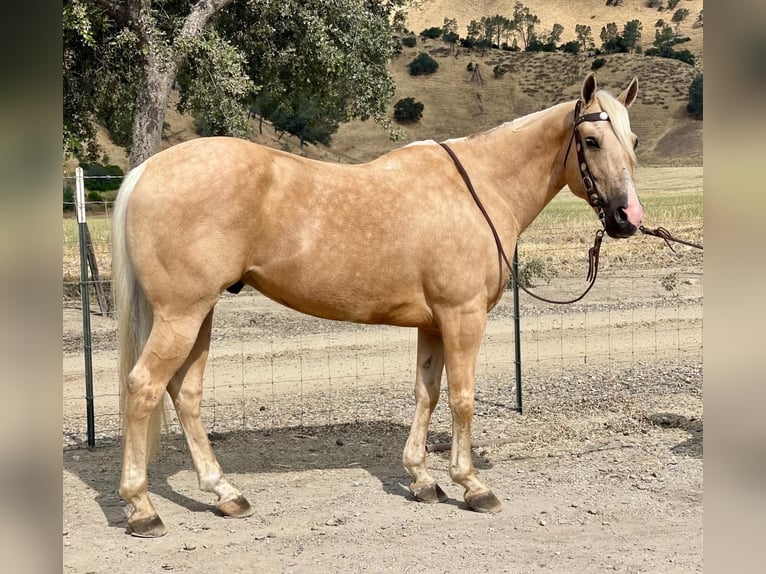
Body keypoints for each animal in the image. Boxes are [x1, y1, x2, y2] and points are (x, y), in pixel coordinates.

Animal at [111, 74, 644, 536]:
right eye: (592, 141)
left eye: (633, 141)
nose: (627, 218)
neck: (478, 188)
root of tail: (146, 171)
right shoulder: (463, 316)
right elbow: (462, 398)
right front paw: (471, 485)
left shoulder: (434, 323)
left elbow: (427, 393)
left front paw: (422, 479)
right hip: (182, 314)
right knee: (143, 387)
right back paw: (142, 508)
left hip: (199, 314)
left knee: (185, 393)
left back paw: (224, 493)